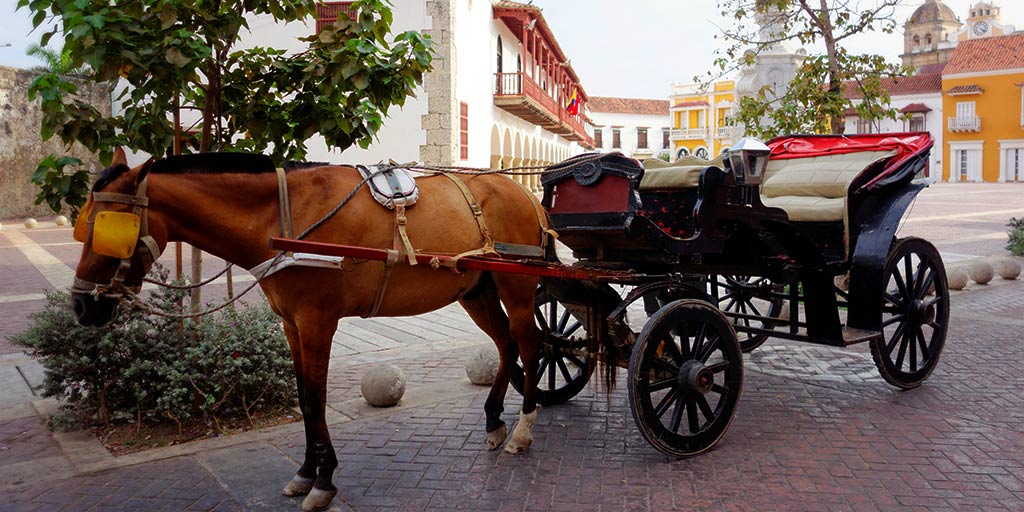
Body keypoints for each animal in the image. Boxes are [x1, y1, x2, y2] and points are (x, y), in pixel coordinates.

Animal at [72, 146, 552, 509]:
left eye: (107, 229)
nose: (80, 305)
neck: (282, 219)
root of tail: (524, 192)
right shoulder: (291, 323)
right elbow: (304, 398)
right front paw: (306, 472)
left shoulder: (317, 321)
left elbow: (315, 399)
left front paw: (323, 480)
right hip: (478, 291)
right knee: (506, 345)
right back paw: (494, 420)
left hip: (517, 288)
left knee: (531, 346)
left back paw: (524, 428)